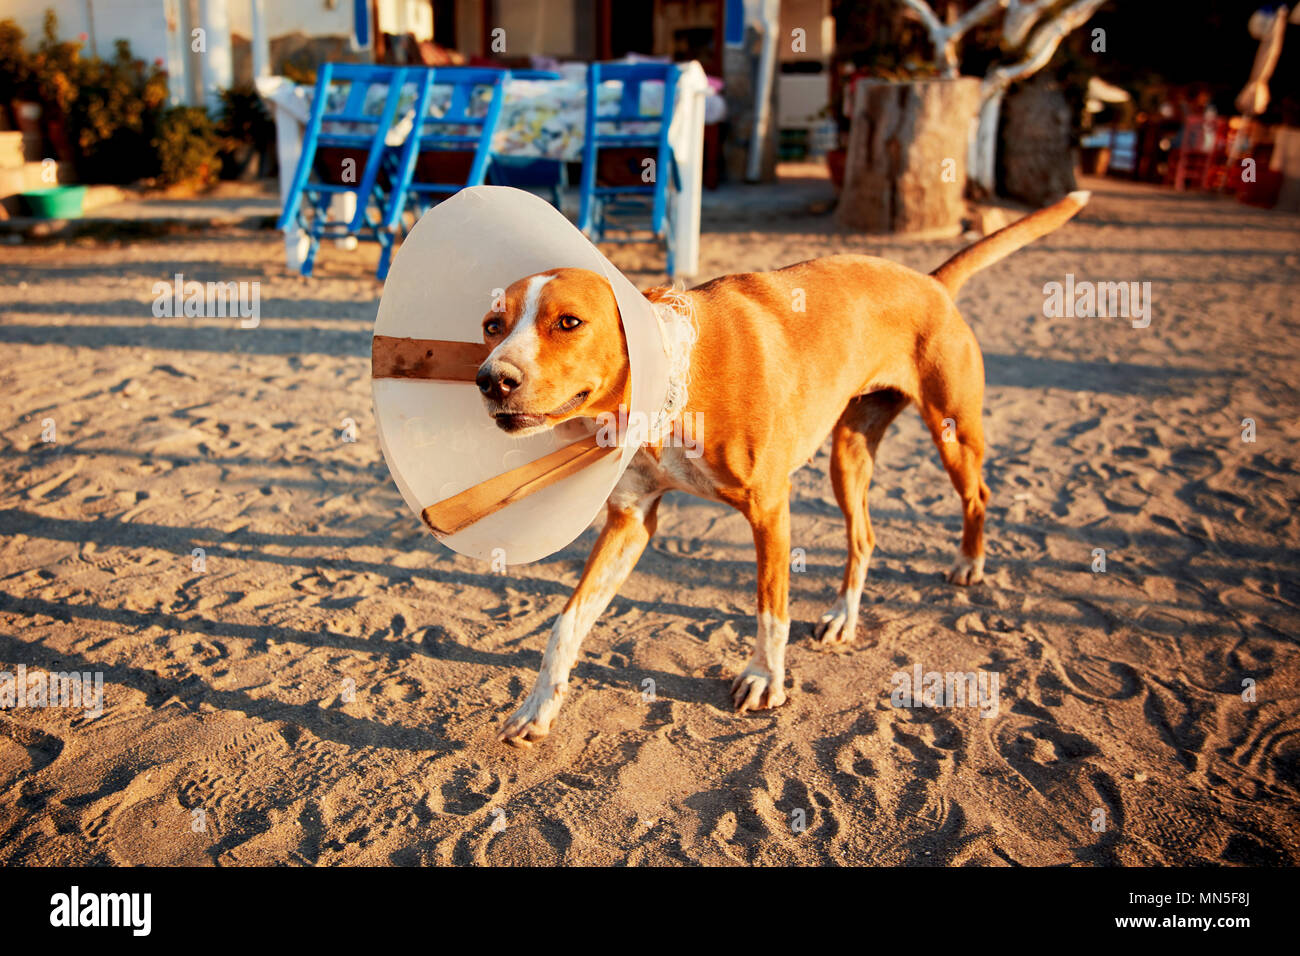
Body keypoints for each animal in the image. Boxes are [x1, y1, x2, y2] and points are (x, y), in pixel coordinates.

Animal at [473, 191, 1092, 743]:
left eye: (569, 323)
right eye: (492, 326)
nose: (490, 380)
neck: (676, 379)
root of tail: (932, 281)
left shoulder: (770, 509)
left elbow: (771, 607)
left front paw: (764, 679)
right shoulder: (631, 521)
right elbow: (566, 622)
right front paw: (538, 706)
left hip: (953, 435)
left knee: (977, 496)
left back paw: (968, 562)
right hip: (848, 459)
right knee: (864, 538)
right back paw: (843, 616)